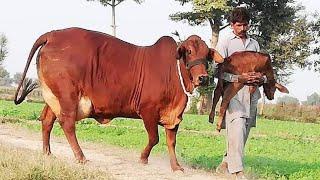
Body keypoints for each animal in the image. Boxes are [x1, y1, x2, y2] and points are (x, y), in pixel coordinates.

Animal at [15, 27, 224, 171]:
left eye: (207, 54)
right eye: (188, 52)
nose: (203, 78)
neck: (173, 72)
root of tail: (52, 34)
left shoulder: (174, 116)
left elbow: (171, 142)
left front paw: (176, 167)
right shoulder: (148, 111)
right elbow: (154, 138)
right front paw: (143, 158)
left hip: (54, 97)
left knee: (47, 120)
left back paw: (47, 153)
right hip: (68, 96)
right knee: (67, 123)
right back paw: (80, 157)